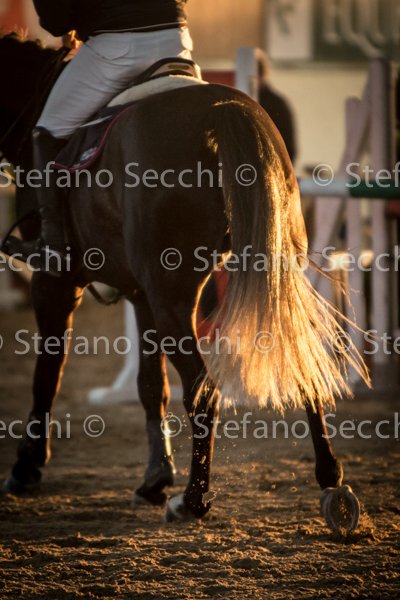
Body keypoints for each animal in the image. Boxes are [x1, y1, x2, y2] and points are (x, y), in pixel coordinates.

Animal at [0, 34, 368, 531]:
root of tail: (222, 108)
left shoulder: (55, 283)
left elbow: (47, 376)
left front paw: (27, 466)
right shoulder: (141, 295)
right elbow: (149, 385)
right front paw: (155, 477)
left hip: (176, 300)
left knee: (203, 391)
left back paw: (193, 501)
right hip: (269, 279)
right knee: (303, 367)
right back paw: (331, 483)